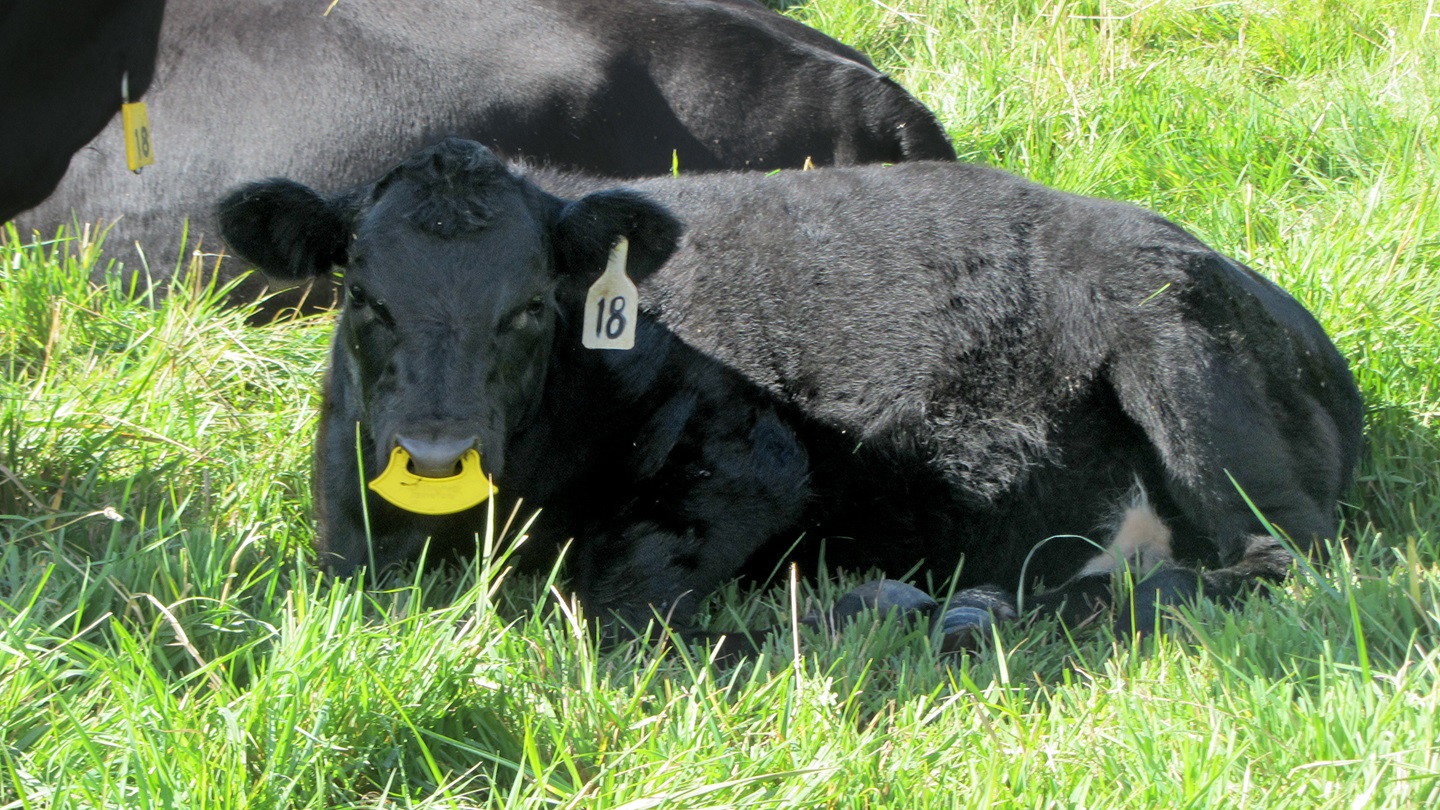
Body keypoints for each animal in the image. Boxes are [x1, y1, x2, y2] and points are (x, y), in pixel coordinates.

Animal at [217, 138, 1363, 648]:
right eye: (363, 296)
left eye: (531, 307)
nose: (434, 452)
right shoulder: (341, 547)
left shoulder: (757, 454)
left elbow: (619, 602)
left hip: (1182, 368)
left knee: (1277, 564)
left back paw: (986, 605)